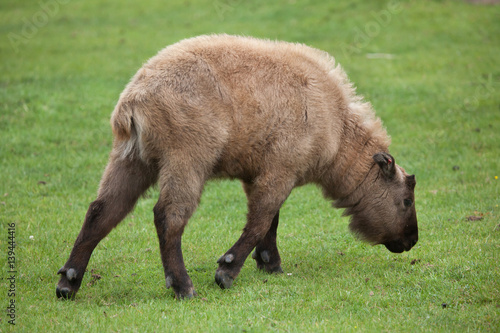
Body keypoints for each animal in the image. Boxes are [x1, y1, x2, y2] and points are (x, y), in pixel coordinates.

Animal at [56, 35, 418, 300]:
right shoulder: (280, 172)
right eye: (406, 200)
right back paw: (183, 286)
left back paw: (68, 282)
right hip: (186, 159)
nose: (412, 240)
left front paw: (270, 264)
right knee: (168, 216)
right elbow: (260, 221)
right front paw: (227, 271)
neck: (338, 127)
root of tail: (135, 98)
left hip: (131, 159)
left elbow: (270, 220)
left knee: (102, 211)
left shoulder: (260, 174)